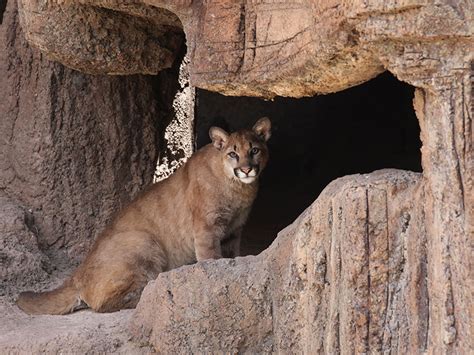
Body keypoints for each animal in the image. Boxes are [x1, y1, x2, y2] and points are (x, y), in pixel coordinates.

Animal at [17, 118, 270, 316]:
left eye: (254, 150)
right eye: (233, 154)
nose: (246, 169)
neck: (238, 188)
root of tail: (76, 274)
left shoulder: (234, 230)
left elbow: (231, 256)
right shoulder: (206, 228)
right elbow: (211, 259)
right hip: (143, 240)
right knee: (104, 303)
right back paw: (151, 291)